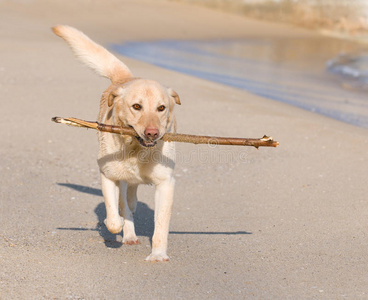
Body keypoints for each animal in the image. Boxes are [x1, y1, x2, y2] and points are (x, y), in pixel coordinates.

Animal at [53, 25, 181, 260]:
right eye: (137, 106)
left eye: (161, 108)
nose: (152, 133)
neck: (136, 150)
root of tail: (127, 78)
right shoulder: (108, 175)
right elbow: (114, 216)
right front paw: (116, 224)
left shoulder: (166, 183)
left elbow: (161, 224)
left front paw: (158, 254)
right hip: (120, 180)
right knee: (124, 204)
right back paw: (128, 234)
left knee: (132, 198)